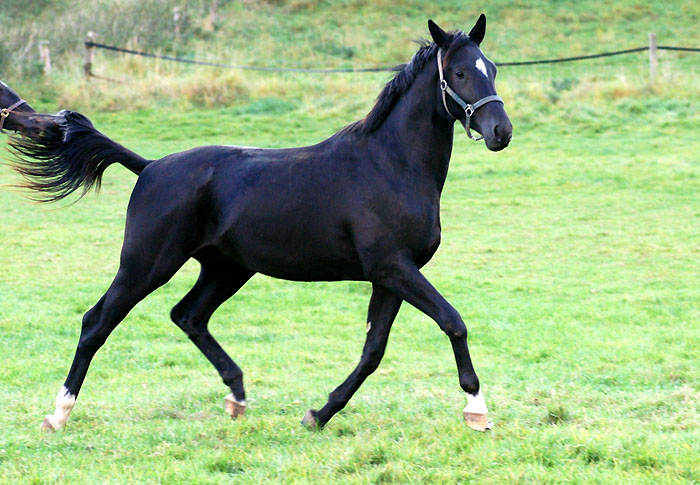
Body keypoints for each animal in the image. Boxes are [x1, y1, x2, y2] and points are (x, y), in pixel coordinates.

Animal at [8, 16, 512, 432]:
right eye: (460, 73)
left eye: (491, 67)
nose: (500, 132)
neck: (390, 164)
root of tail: (149, 167)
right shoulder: (393, 267)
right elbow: (453, 322)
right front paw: (477, 410)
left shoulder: (389, 276)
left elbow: (373, 352)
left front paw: (319, 414)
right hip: (147, 264)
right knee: (97, 322)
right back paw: (59, 412)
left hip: (226, 268)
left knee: (188, 315)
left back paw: (237, 397)